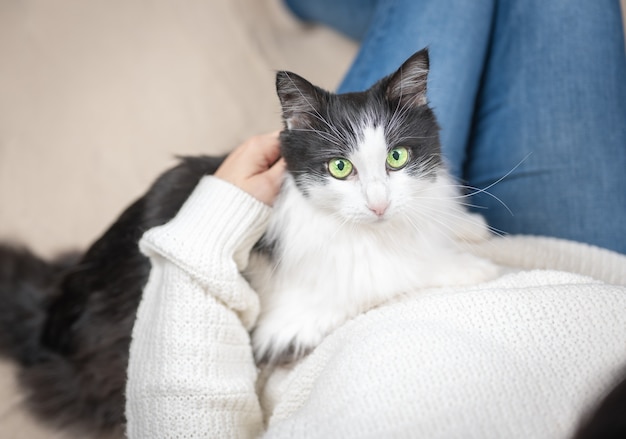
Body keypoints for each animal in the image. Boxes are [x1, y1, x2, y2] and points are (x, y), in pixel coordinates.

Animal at [0, 49, 498, 436]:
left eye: (397, 157)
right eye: (340, 168)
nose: (378, 205)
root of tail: (51, 312)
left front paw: (467, 225)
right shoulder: (293, 315)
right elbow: (400, 271)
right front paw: (473, 267)